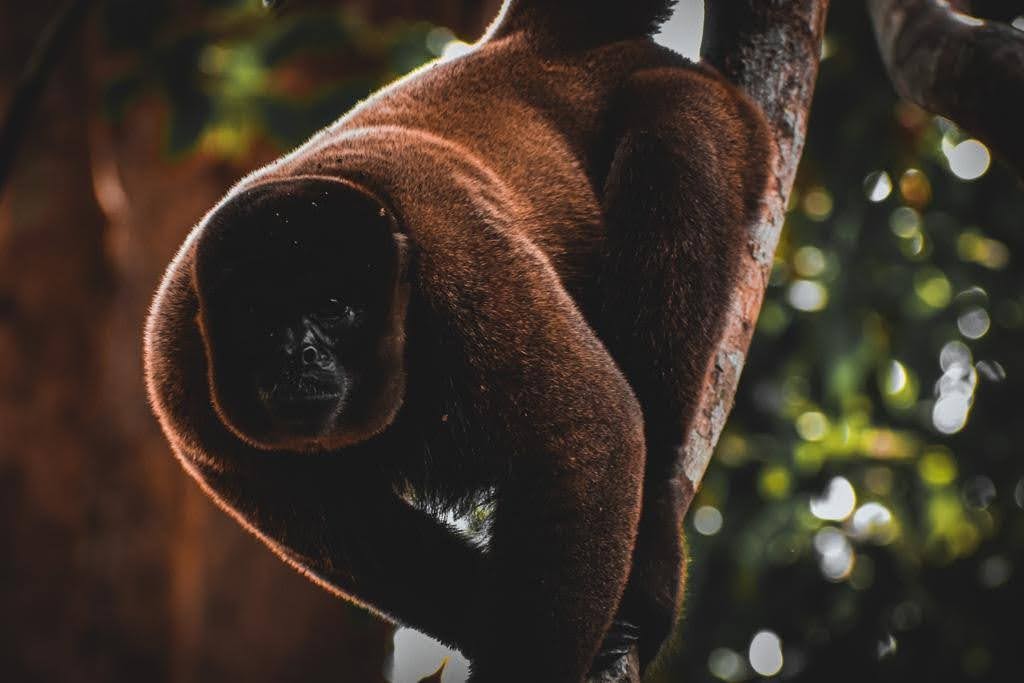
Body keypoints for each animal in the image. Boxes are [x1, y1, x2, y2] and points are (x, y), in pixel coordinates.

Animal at [143, 0, 772, 680]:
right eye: (260, 320)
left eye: (334, 309)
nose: (299, 354)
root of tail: (523, 45)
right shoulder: (180, 380)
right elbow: (349, 527)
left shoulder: (464, 257)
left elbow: (587, 429)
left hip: (724, 124)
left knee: (670, 121)